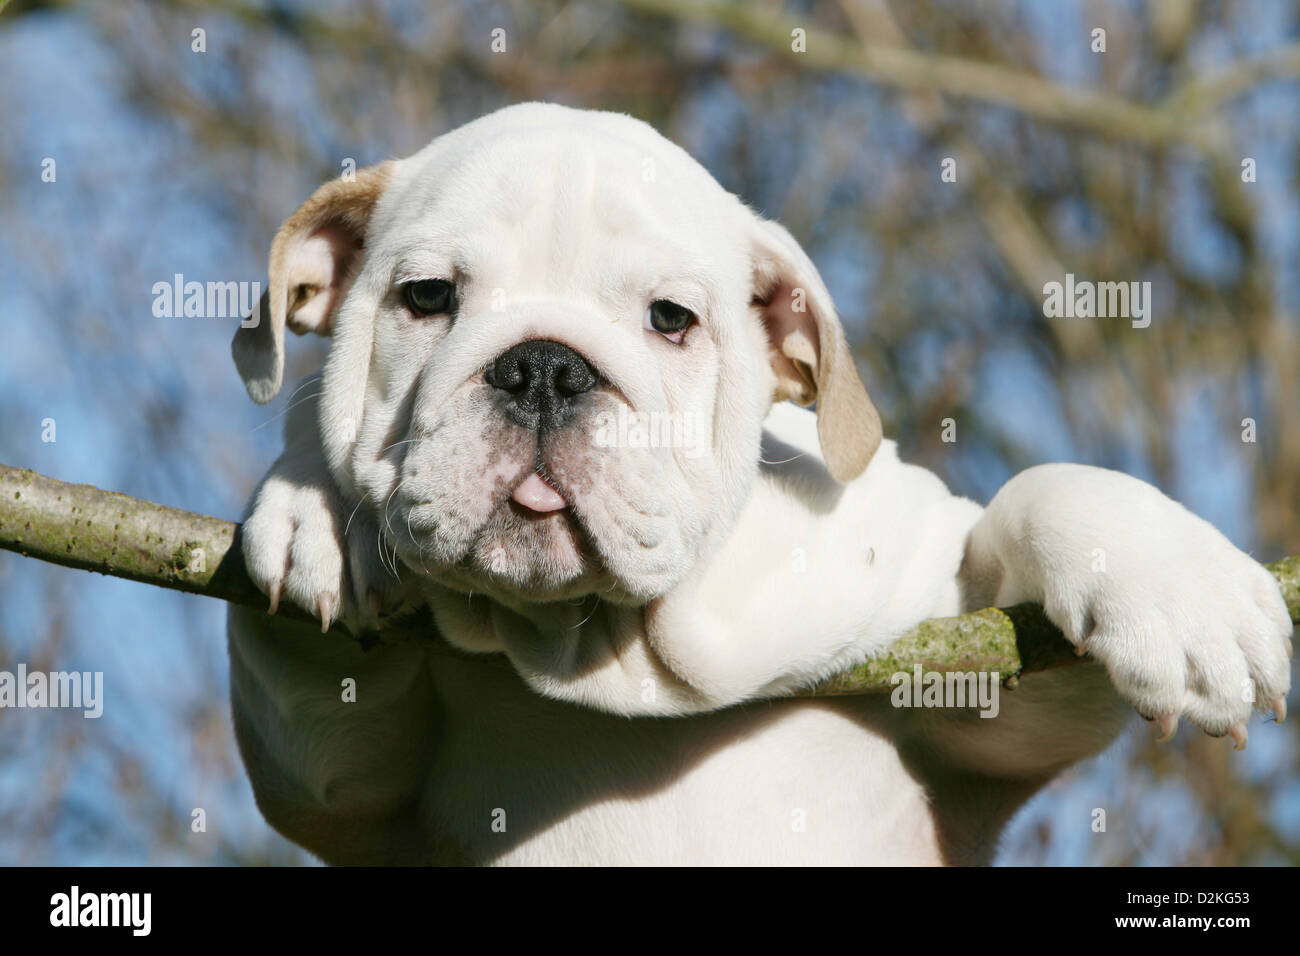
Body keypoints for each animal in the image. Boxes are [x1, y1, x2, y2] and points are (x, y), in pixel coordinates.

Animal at [223, 104, 1289, 868]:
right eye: (428, 298)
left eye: (671, 318)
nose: (544, 369)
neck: (595, 644)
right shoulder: (345, 798)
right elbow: (317, 745)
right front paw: (320, 514)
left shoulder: (975, 691)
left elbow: (1039, 503)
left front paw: (1181, 597)